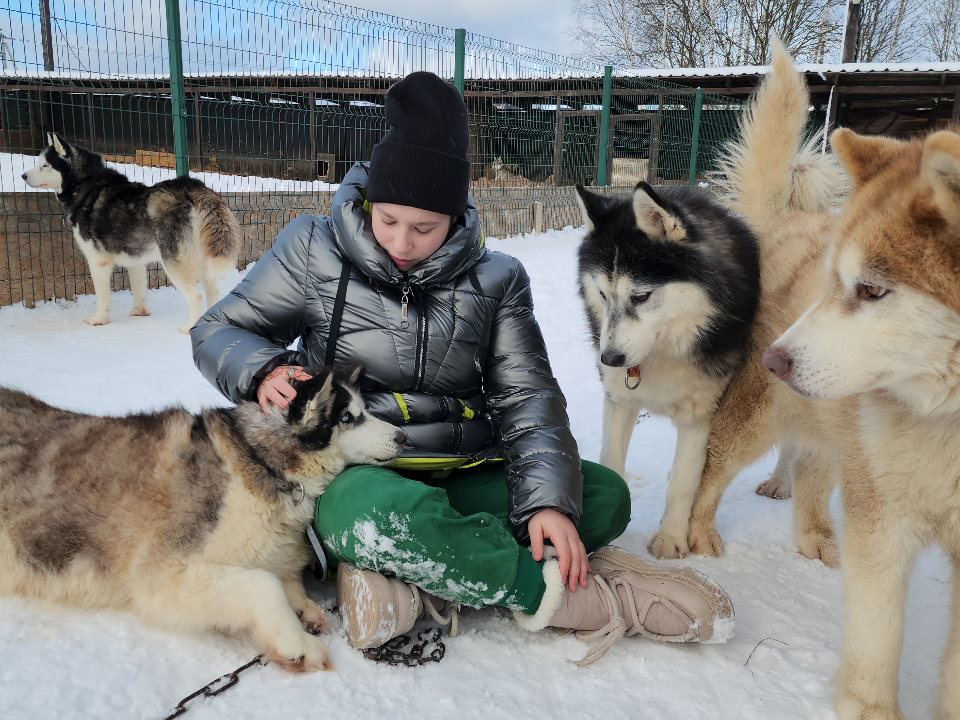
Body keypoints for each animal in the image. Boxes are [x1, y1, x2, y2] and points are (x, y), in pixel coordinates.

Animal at [0, 366, 406, 668]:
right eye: (348, 417)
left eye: (363, 410)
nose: (403, 436)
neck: (264, 463)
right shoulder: (163, 576)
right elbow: (264, 585)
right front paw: (295, 640)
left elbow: (284, 580)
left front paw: (304, 609)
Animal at [21, 134, 240, 334]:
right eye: (38, 163)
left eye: (45, 165)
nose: (23, 176)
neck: (86, 185)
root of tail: (189, 186)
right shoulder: (135, 261)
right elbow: (138, 289)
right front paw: (140, 312)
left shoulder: (98, 260)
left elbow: (102, 297)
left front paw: (98, 320)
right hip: (200, 259)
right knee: (212, 291)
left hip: (174, 261)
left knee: (197, 296)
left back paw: (189, 328)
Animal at [572, 179, 760, 556]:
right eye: (602, 294)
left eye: (641, 296)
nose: (609, 359)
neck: (663, 352)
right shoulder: (619, 399)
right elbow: (612, 460)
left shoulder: (701, 412)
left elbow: (685, 483)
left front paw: (671, 538)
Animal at [764, 125, 960, 720]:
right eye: (834, 280)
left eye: (872, 289)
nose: (773, 360)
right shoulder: (883, 517)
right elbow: (878, 632)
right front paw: (867, 707)